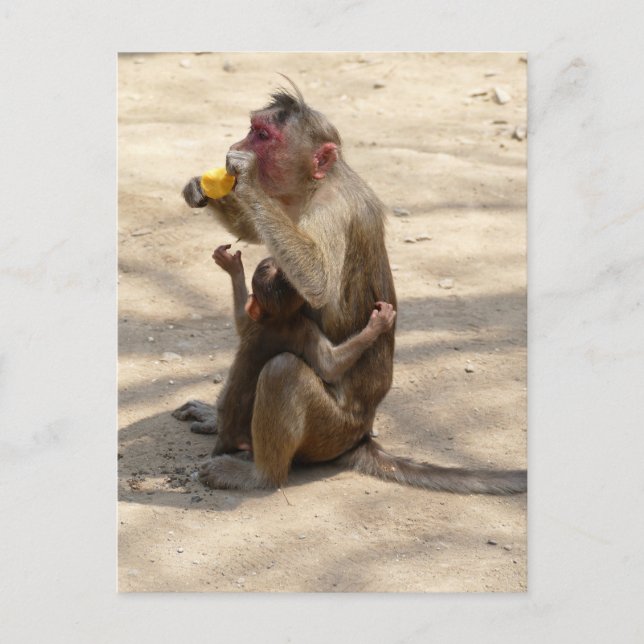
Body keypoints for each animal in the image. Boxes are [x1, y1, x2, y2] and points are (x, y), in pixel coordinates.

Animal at [178, 244, 396, 457]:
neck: (277, 318)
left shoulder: (277, 324)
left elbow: (242, 320)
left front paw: (234, 267)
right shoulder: (300, 326)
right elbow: (330, 366)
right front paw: (377, 325)